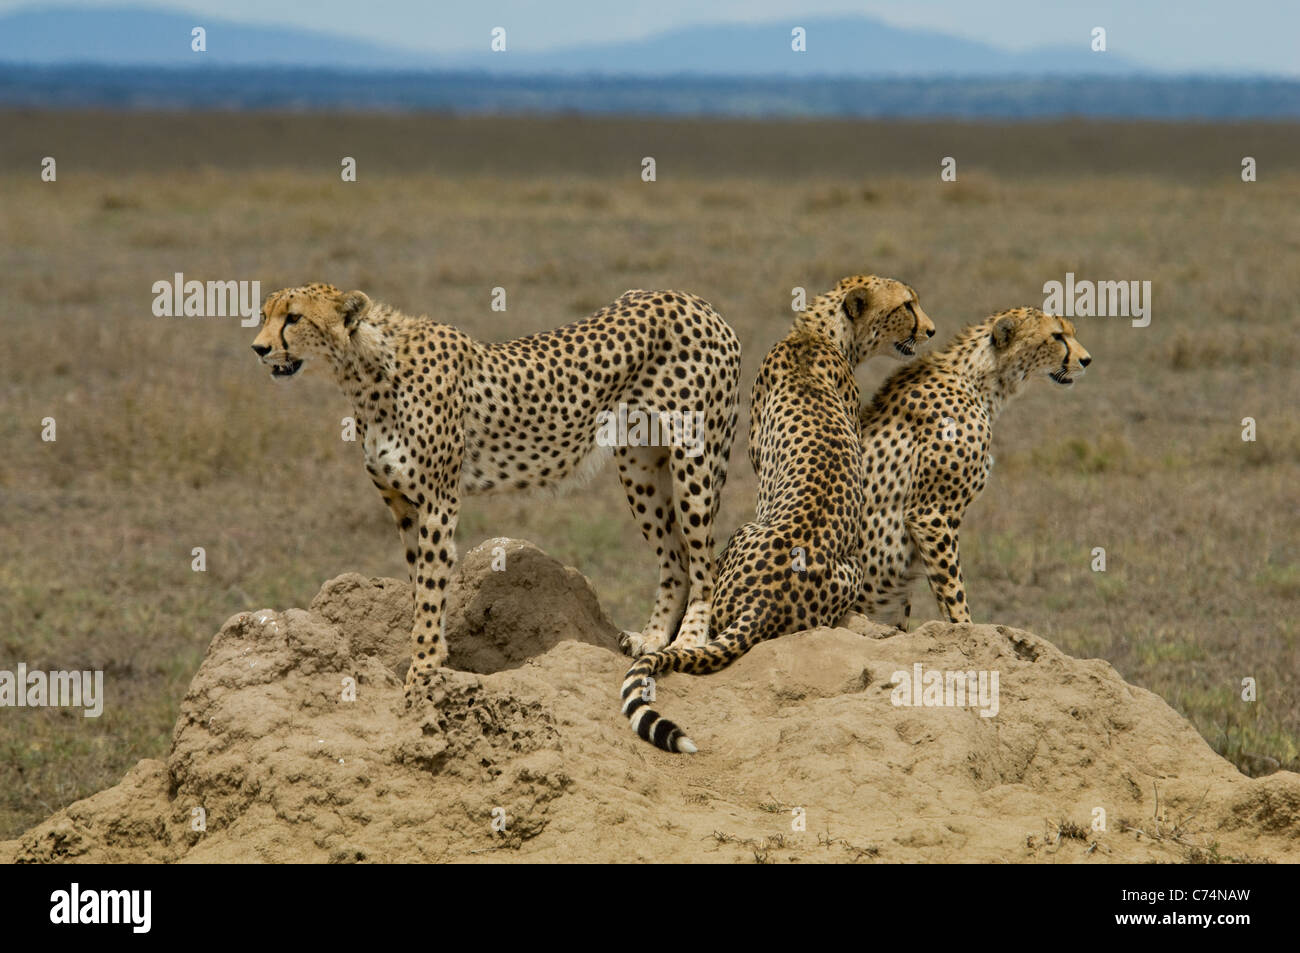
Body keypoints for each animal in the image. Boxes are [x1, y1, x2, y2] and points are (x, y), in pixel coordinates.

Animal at [250, 282, 743, 696]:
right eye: (264, 313)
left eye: (293, 317)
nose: (258, 348)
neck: (367, 372)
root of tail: (695, 300)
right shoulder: (403, 506)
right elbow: (419, 590)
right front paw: (430, 661)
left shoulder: (439, 501)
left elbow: (430, 591)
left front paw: (422, 673)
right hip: (639, 465)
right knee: (675, 556)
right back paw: (654, 637)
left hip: (694, 458)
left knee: (702, 561)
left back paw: (689, 640)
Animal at [857, 308, 1092, 629]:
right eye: (1057, 336)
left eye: (1071, 332)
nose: (1086, 359)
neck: (980, 379)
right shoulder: (931, 514)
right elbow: (952, 591)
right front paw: (964, 626)